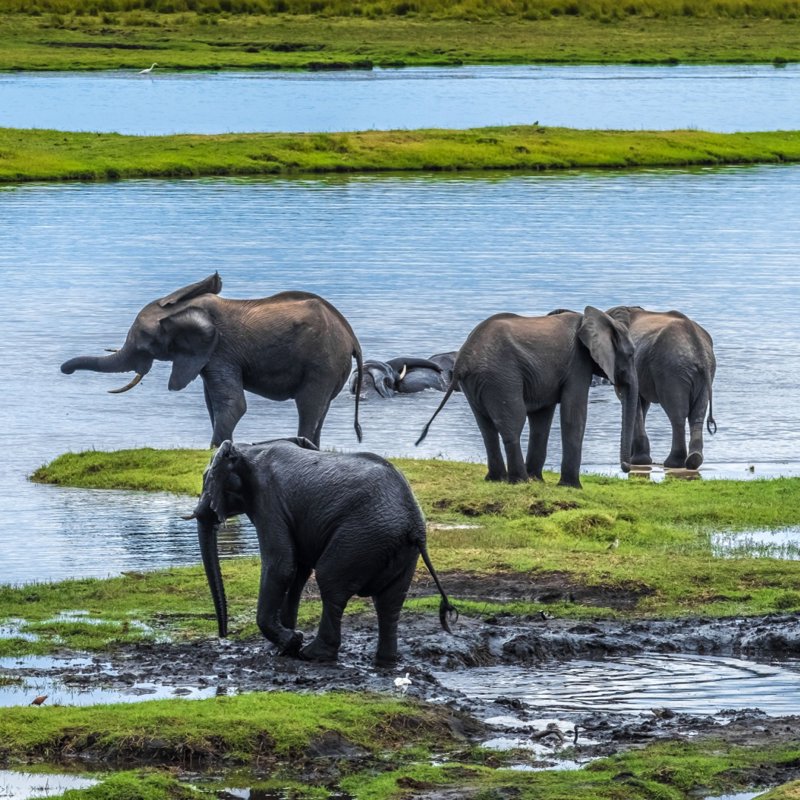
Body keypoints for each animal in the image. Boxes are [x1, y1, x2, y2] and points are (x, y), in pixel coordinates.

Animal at [61, 273, 364, 447]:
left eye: (144, 343)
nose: (65, 371)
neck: (183, 307)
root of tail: (351, 337)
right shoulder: (207, 358)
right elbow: (212, 403)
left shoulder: (221, 351)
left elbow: (232, 404)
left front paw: (216, 451)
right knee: (320, 410)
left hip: (322, 361)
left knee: (308, 405)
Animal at [186, 437, 457, 665]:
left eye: (205, 477)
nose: (223, 635)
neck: (249, 448)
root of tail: (413, 523)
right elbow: (298, 571)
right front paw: (283, 646)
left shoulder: (268, 501)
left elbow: (281, 565)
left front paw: (291, 642)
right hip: (397, 549)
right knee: (390, 602)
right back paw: (385, 661)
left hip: (361, 537)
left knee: (331, 582)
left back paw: (314, 654)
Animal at [417, 307, 638, 488]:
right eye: (630, 354)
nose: (626, 466)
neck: (599, 318)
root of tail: (462, 360)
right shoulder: (577, 363)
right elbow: (573, 414)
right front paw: (572, 487)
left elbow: (542, 418)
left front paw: (538, 479)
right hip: (501, 376)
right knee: (513, 421)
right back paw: (519, 481)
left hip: (475, 383)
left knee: (486, 427)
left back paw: (498, 479)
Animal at [605, 306, 716, 470]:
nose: (625, 465)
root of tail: (699, 347)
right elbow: (641, 404)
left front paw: (638, 461)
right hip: (704, 373)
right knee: (697, 414)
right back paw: (693, 460)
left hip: (671, 369)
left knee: (677, 414)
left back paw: (673, 463)